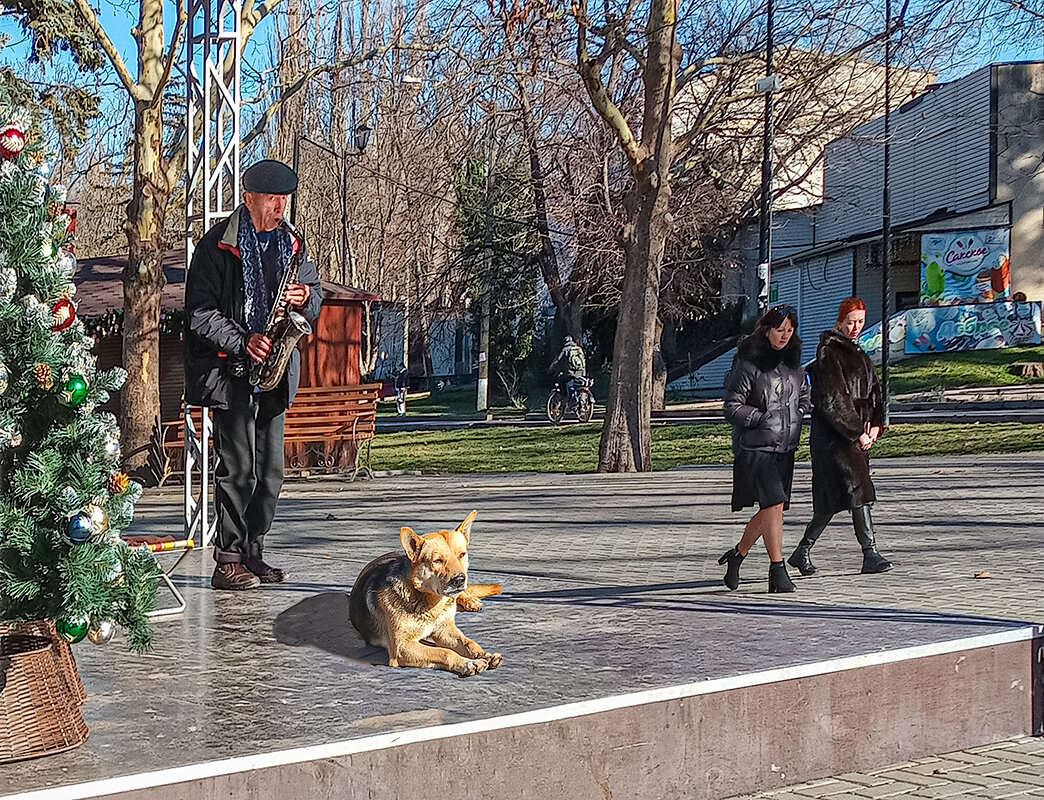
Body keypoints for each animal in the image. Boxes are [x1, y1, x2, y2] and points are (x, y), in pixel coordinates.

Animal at [348, 513, 503, 676]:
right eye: (437, 560)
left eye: (462, 554)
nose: (460, 580)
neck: (431, 603)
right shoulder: (401, 647)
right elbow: (445, 652)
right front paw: (468, 663)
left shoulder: (444, 630)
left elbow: (469, 643)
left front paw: (485, 655)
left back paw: (470, 600)